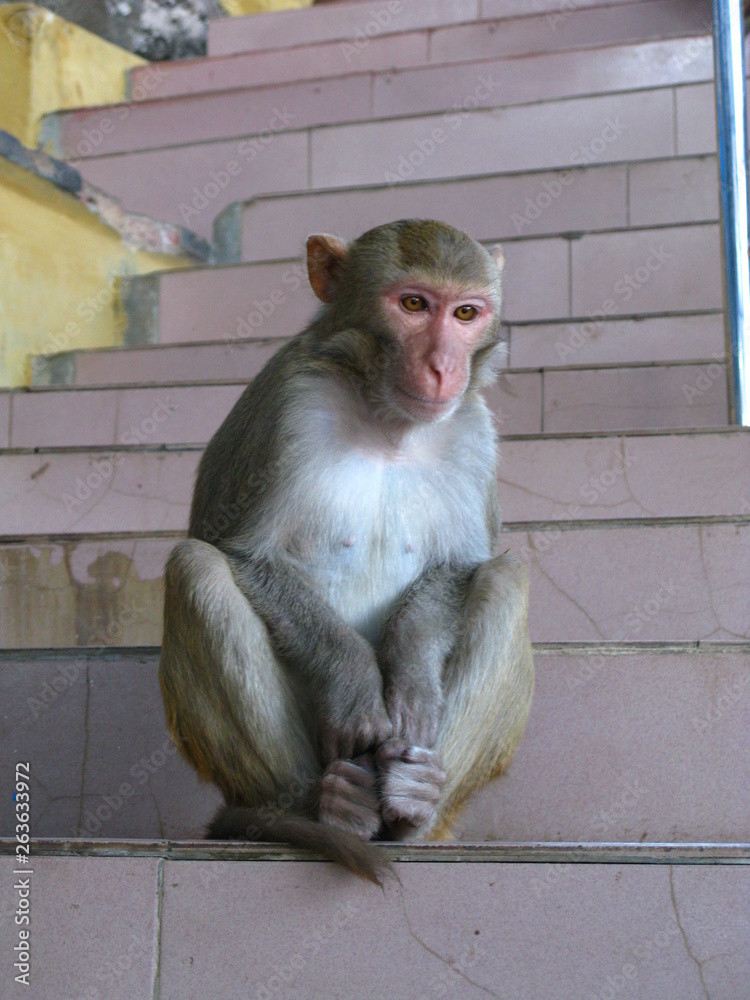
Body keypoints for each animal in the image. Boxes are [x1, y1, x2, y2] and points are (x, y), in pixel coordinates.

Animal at [159, 219, 536, 884]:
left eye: (466, 313)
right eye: (413, 305)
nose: (443, 367)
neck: (388, 424)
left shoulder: (475, 432)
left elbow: (462, 567)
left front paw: (409, 675)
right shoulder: (288, 406)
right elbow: (243, 555)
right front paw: (357, 681)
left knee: (506, 579)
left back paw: (416, 805)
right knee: (196, 570)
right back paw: (318, 809)